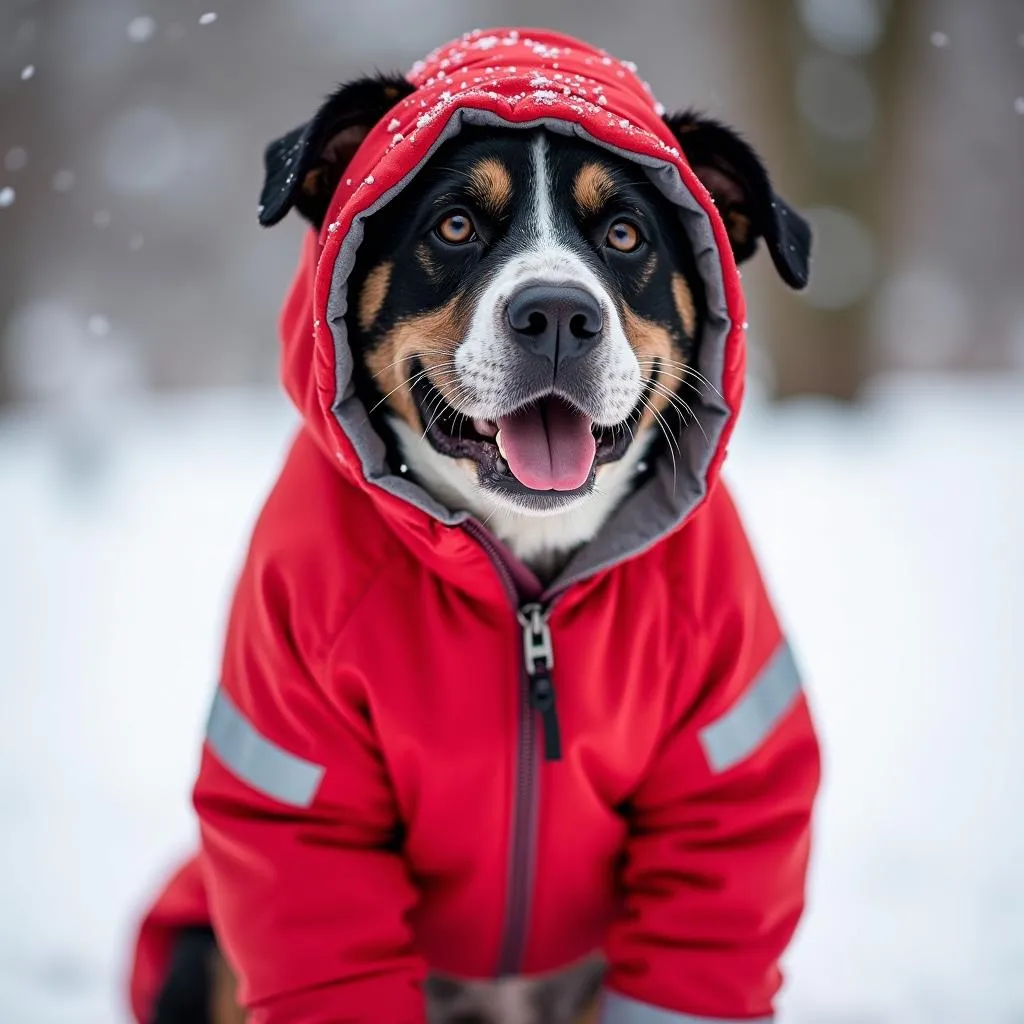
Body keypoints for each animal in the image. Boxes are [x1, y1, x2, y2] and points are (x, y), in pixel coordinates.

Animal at [142, 25, 815, 1024]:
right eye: (454, 226)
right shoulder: (301, 790)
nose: (558, 315)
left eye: (625, 234)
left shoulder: (723, 775)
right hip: (201, 950)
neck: (527, 583)